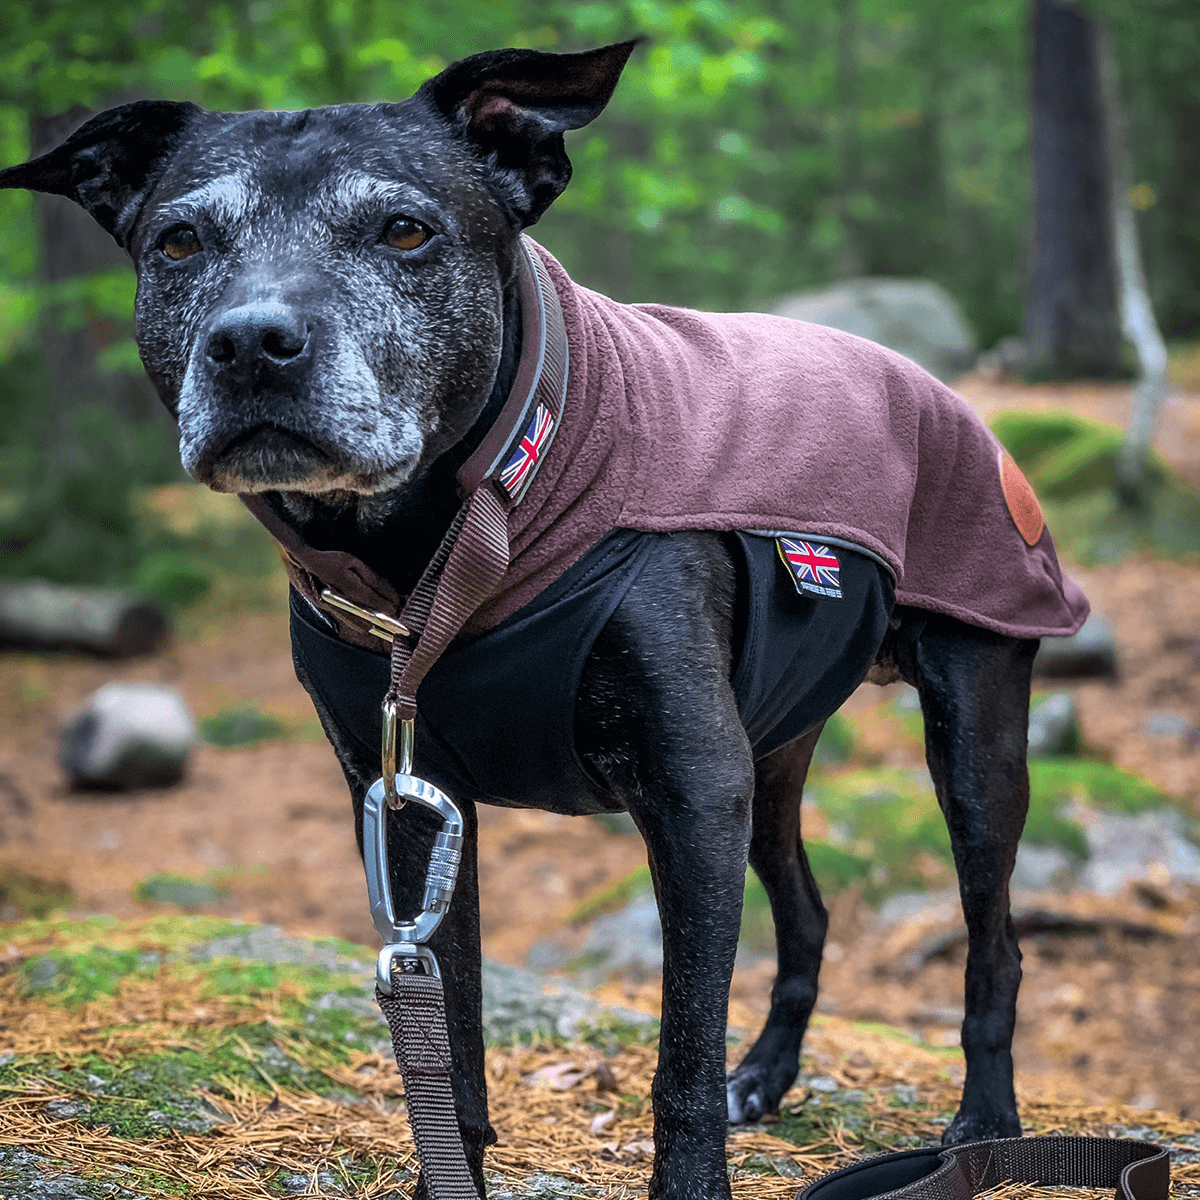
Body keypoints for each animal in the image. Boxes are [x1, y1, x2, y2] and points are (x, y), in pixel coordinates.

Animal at [0, 42, 1070, 1200]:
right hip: (775, 756)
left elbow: (679, 1059)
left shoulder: (692, 793)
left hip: (971, 743)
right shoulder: (414, 808)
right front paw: (450, 1169)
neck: (444, 552)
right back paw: (769, 1075)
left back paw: (985, 1126)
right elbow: (452, 1038)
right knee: (810, 912)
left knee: (995, 942)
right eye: (180, 240)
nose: (251, 345)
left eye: (405, 230)